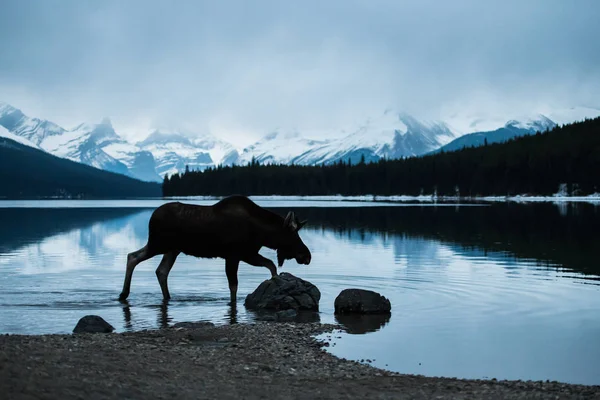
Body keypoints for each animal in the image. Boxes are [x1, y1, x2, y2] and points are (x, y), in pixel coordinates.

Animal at [119, 196, 312, 304]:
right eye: (293, 236)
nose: (307, 255)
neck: (262, 233)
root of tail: (152, 217)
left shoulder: (246, 254)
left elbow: (271, 265)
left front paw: (276, 282)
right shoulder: (236, 255)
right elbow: (234, 285)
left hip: (173, 249)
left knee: (161, 270)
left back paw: (167, 297)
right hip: (159, 244)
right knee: (132, 256)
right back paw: (124, 293)